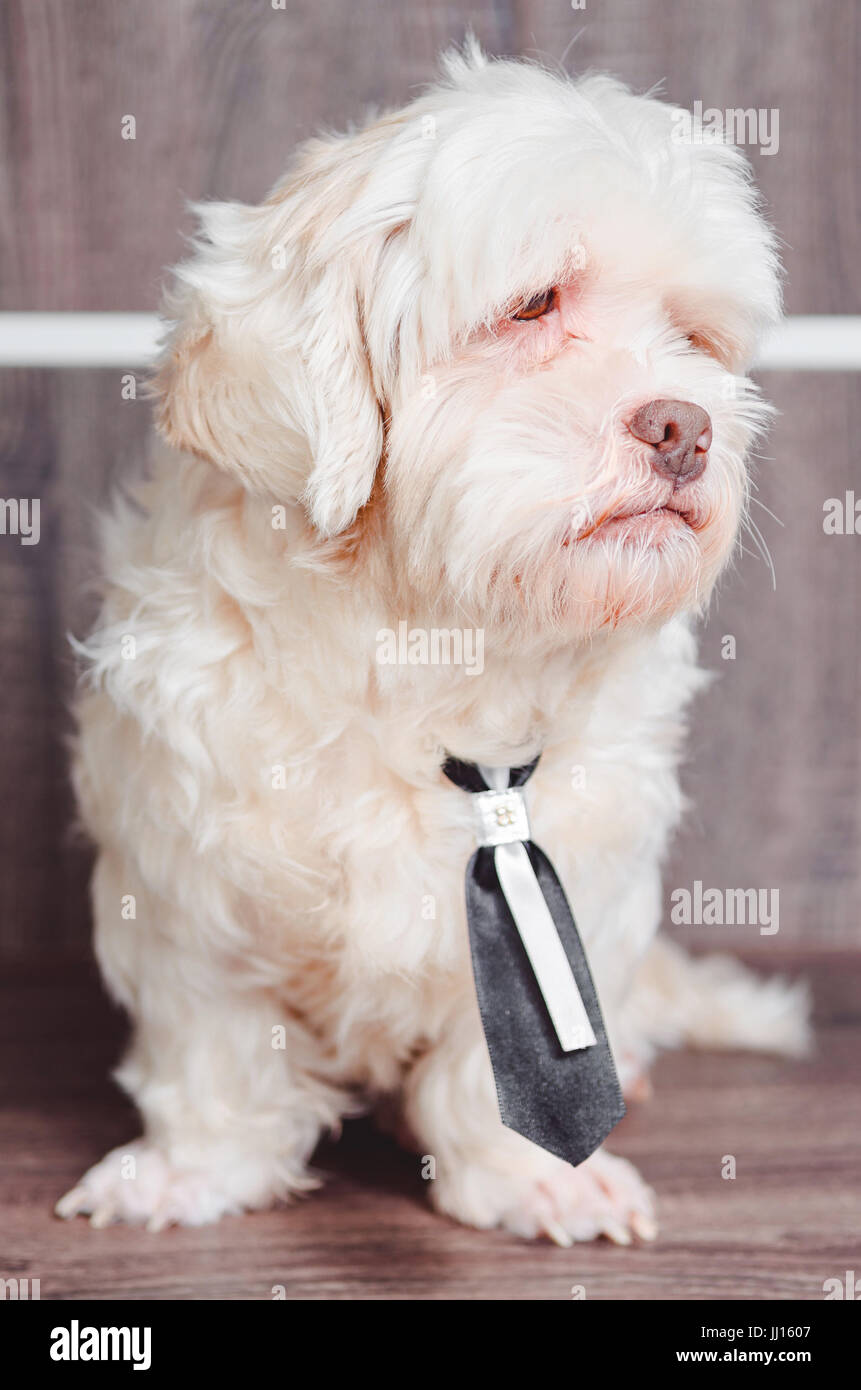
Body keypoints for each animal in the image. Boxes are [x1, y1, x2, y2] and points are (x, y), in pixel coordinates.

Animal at [59, 43, 806, 1245]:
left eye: (694, 336)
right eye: (533, 303)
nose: (686, 426)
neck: (433, 642)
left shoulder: (580, 867)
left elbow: (489, 1051)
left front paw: (530, 1175)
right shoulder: (181, 882)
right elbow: (215, 1045)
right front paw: (197, 1167)